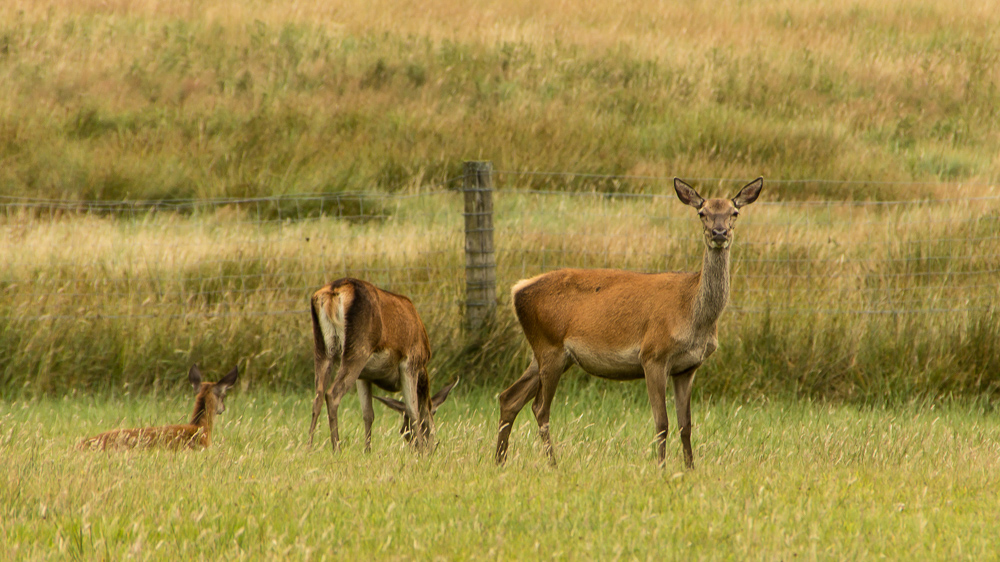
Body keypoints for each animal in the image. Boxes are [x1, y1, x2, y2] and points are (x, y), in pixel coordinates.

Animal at [309, 277, 457, 453]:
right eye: (405, 434)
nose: (429, 450)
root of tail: (333, 291)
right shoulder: (410, 363)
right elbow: (414, 411)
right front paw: (421, 452)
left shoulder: (364, 376)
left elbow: (368, 413)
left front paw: (367, 451)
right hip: (358, 348)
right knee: (332, 394)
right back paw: (336, 448)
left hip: (322, 348)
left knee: (317, 398)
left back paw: (308, 447)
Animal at [494, 177, 763, 469]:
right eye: (702, 213)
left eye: (734, 212)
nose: (719, 232)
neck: (693, 313)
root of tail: (517, 290)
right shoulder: (653, 355)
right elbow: (662, 423)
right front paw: (661, 468)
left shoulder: (688, 367)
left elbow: (686, 425)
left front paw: (690, 469)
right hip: (549, 346)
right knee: (540, 408)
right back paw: (553, 464)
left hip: (548, 354)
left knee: (509, 397)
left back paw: (499, 461)